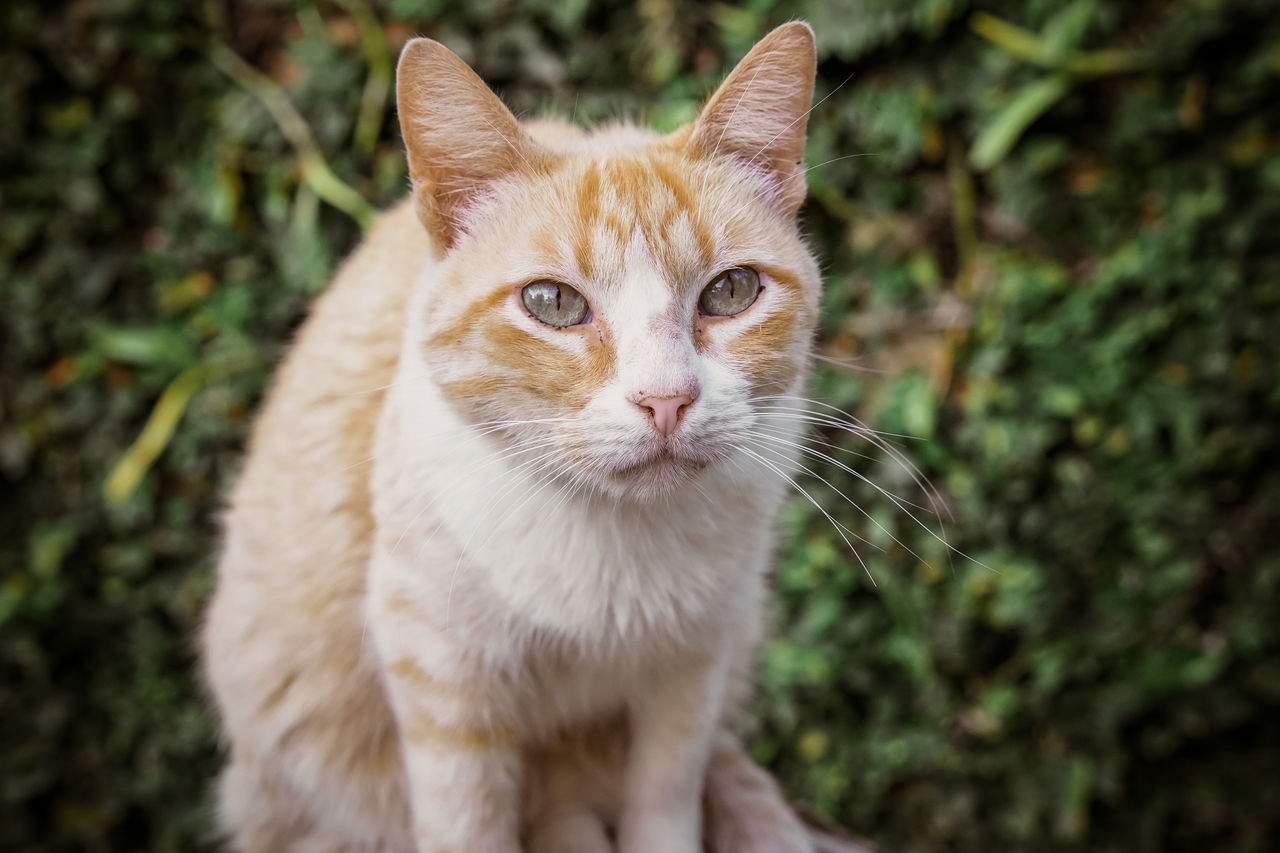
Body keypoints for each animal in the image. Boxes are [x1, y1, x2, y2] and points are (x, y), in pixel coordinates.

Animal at [200, 19, 824, 850]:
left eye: (731, 291)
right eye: (552, 303)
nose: (667, 398)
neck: (616, 547)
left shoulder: (693, 666)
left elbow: (667, 792)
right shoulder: (440, 670)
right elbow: (467, 820)